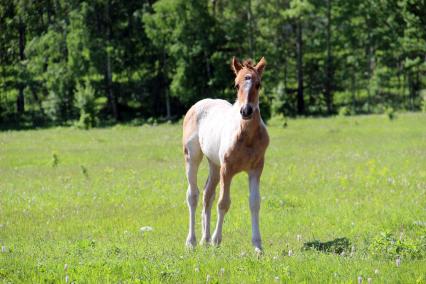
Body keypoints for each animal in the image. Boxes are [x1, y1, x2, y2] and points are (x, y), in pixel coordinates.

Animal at [181, 56, 268, 252]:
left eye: (258, 84)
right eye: (236, 85)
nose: (246, 111)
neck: (246, 136)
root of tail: (199, 103)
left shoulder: (256, 169)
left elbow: (255, 203)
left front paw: (258, 246)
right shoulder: (227, 169)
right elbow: (223, 203)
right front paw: (216, 240)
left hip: (214, 164)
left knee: (207, 194)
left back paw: (204, 239)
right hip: (192, 157)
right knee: (193, 195)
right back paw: (192, 241)